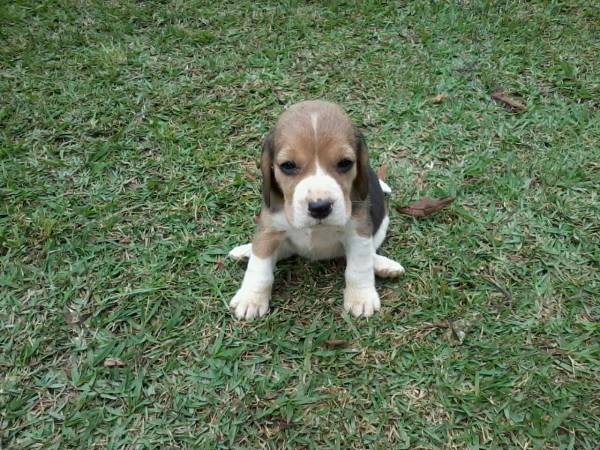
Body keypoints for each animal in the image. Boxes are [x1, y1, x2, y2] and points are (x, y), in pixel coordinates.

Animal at [229, 102, 404, 320]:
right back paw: (246, 251)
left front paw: (361, 298)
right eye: (288, 166)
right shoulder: (269, 231)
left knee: (367, 254)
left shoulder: (358, 232)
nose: (320, 207)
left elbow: (358, 267)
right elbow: (259, 267)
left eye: (345, 163)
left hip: (381, 226)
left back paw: (383, 265)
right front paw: (251, 299)